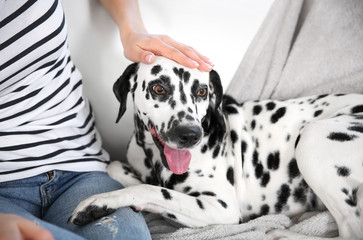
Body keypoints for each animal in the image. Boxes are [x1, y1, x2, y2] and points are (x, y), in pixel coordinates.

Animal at [69, 57, 363, 239]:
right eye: (158, 88)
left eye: (201, 91)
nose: (190, 134)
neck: (154, 157)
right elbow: (116, 167)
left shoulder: (221, 208)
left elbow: (151, 190)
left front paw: (100, 203)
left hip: (311, 138)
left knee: (351, 231)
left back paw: (283, 234)